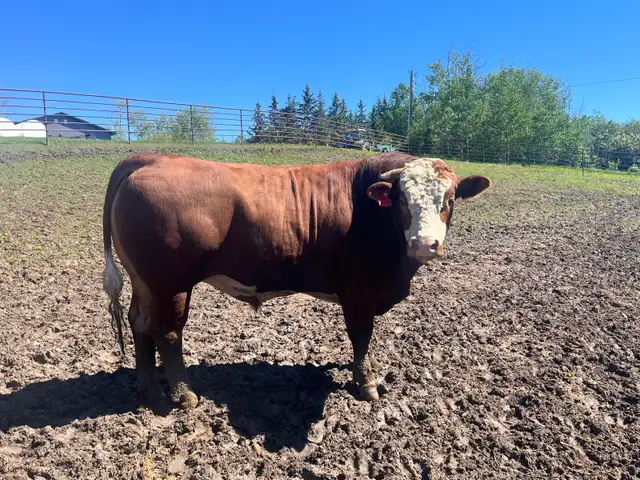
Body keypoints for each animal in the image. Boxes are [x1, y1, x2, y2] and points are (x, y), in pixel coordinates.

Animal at [102, 152, 490, 410]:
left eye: (450, 199)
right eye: (401, 200)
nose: (425, 244)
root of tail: (151, 158)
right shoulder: (359, 292)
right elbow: (361, 337)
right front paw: (366, 383)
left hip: (145, 282)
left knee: (140, 323)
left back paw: (149, 390)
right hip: (172, 284)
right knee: (167, 333)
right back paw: (184, 395)